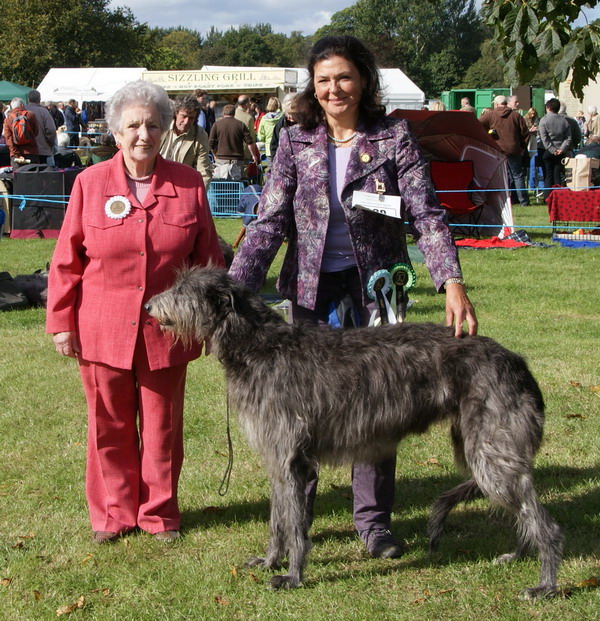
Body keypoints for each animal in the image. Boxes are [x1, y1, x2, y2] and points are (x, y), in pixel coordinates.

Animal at [144, 266, 564, 596]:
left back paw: (545, 584)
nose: (147, 306)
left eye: (182, 290)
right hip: (477, 446)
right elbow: (279, 519)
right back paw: (517, 555)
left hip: (492, 450)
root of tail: (517, 362)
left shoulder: (290, 457)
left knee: (543, 521)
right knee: (522, 509)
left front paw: (293, 577)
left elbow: (294, 525)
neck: (260, 347)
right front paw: (269, 561)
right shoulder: (278, 460)